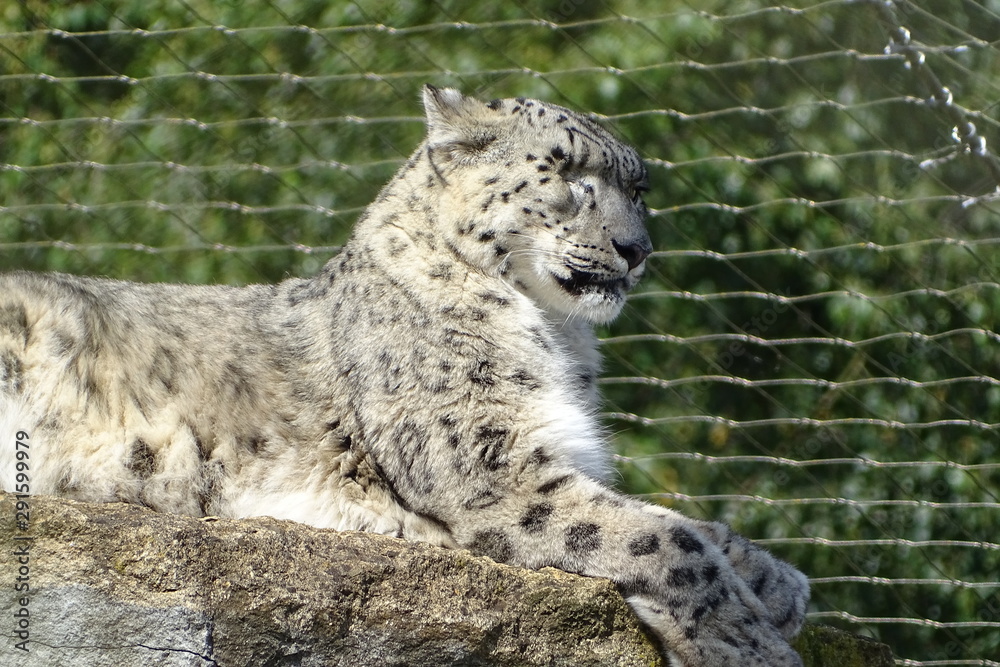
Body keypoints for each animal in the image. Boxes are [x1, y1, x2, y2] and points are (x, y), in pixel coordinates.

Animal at [0, 85, 808, 666]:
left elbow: (686, 525)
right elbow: (664, 542)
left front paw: (778, 580)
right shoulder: (491, 464)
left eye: (637, 190)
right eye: (569, 175)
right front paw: (754, 644)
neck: (560, 340)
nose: (636, 249)